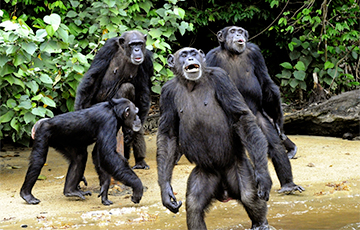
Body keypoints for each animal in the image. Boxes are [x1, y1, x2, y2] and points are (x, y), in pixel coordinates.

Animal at [74, 29, 153, 170]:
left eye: (139, 43)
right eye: (132, 44)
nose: (137, 49)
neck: (125, 53)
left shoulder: (146, 60)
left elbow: (143, 93)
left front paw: (132, 133)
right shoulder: (107, 48)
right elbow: (93, 76)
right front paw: (78, 109)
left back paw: (140, 161)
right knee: (126, 88)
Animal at [156, 47, 272, 230]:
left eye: (194, 53)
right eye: (184, 55)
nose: (191, 58)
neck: (191, 84)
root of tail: (224, 191)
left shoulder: (222, 78)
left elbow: (241, 118)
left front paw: (263, 177)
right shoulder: (166, 93)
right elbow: (168, 135)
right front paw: (166, 191)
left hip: (238, 166)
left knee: (249, 196)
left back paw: (261, 224)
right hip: (205, 173)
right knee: (194, 205)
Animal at [205, 25, 304, 194]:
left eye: (240, 30)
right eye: (232, 31)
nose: (238, 34)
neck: (233, 54)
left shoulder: (256, 53)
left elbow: (266, 83)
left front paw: (278, 120)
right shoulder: (211, 58)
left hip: (256, 119)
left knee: (273, 144)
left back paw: (288, 185)